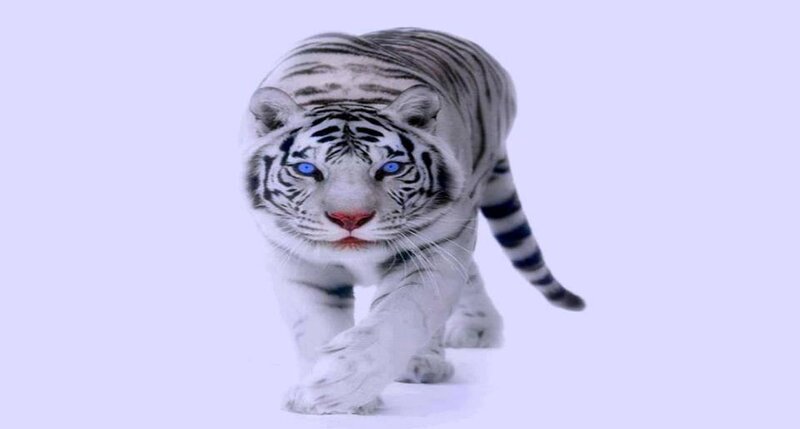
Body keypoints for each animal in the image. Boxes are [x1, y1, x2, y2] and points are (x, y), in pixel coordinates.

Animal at [240, 27, 585, 415]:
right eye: (306, 169)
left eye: (389, 168)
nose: (350, 218)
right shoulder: (298, 261)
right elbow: (316, 325)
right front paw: (323, 398)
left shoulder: (435, 251)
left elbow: (400, 317)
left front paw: (337, 385)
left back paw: (437, 355)